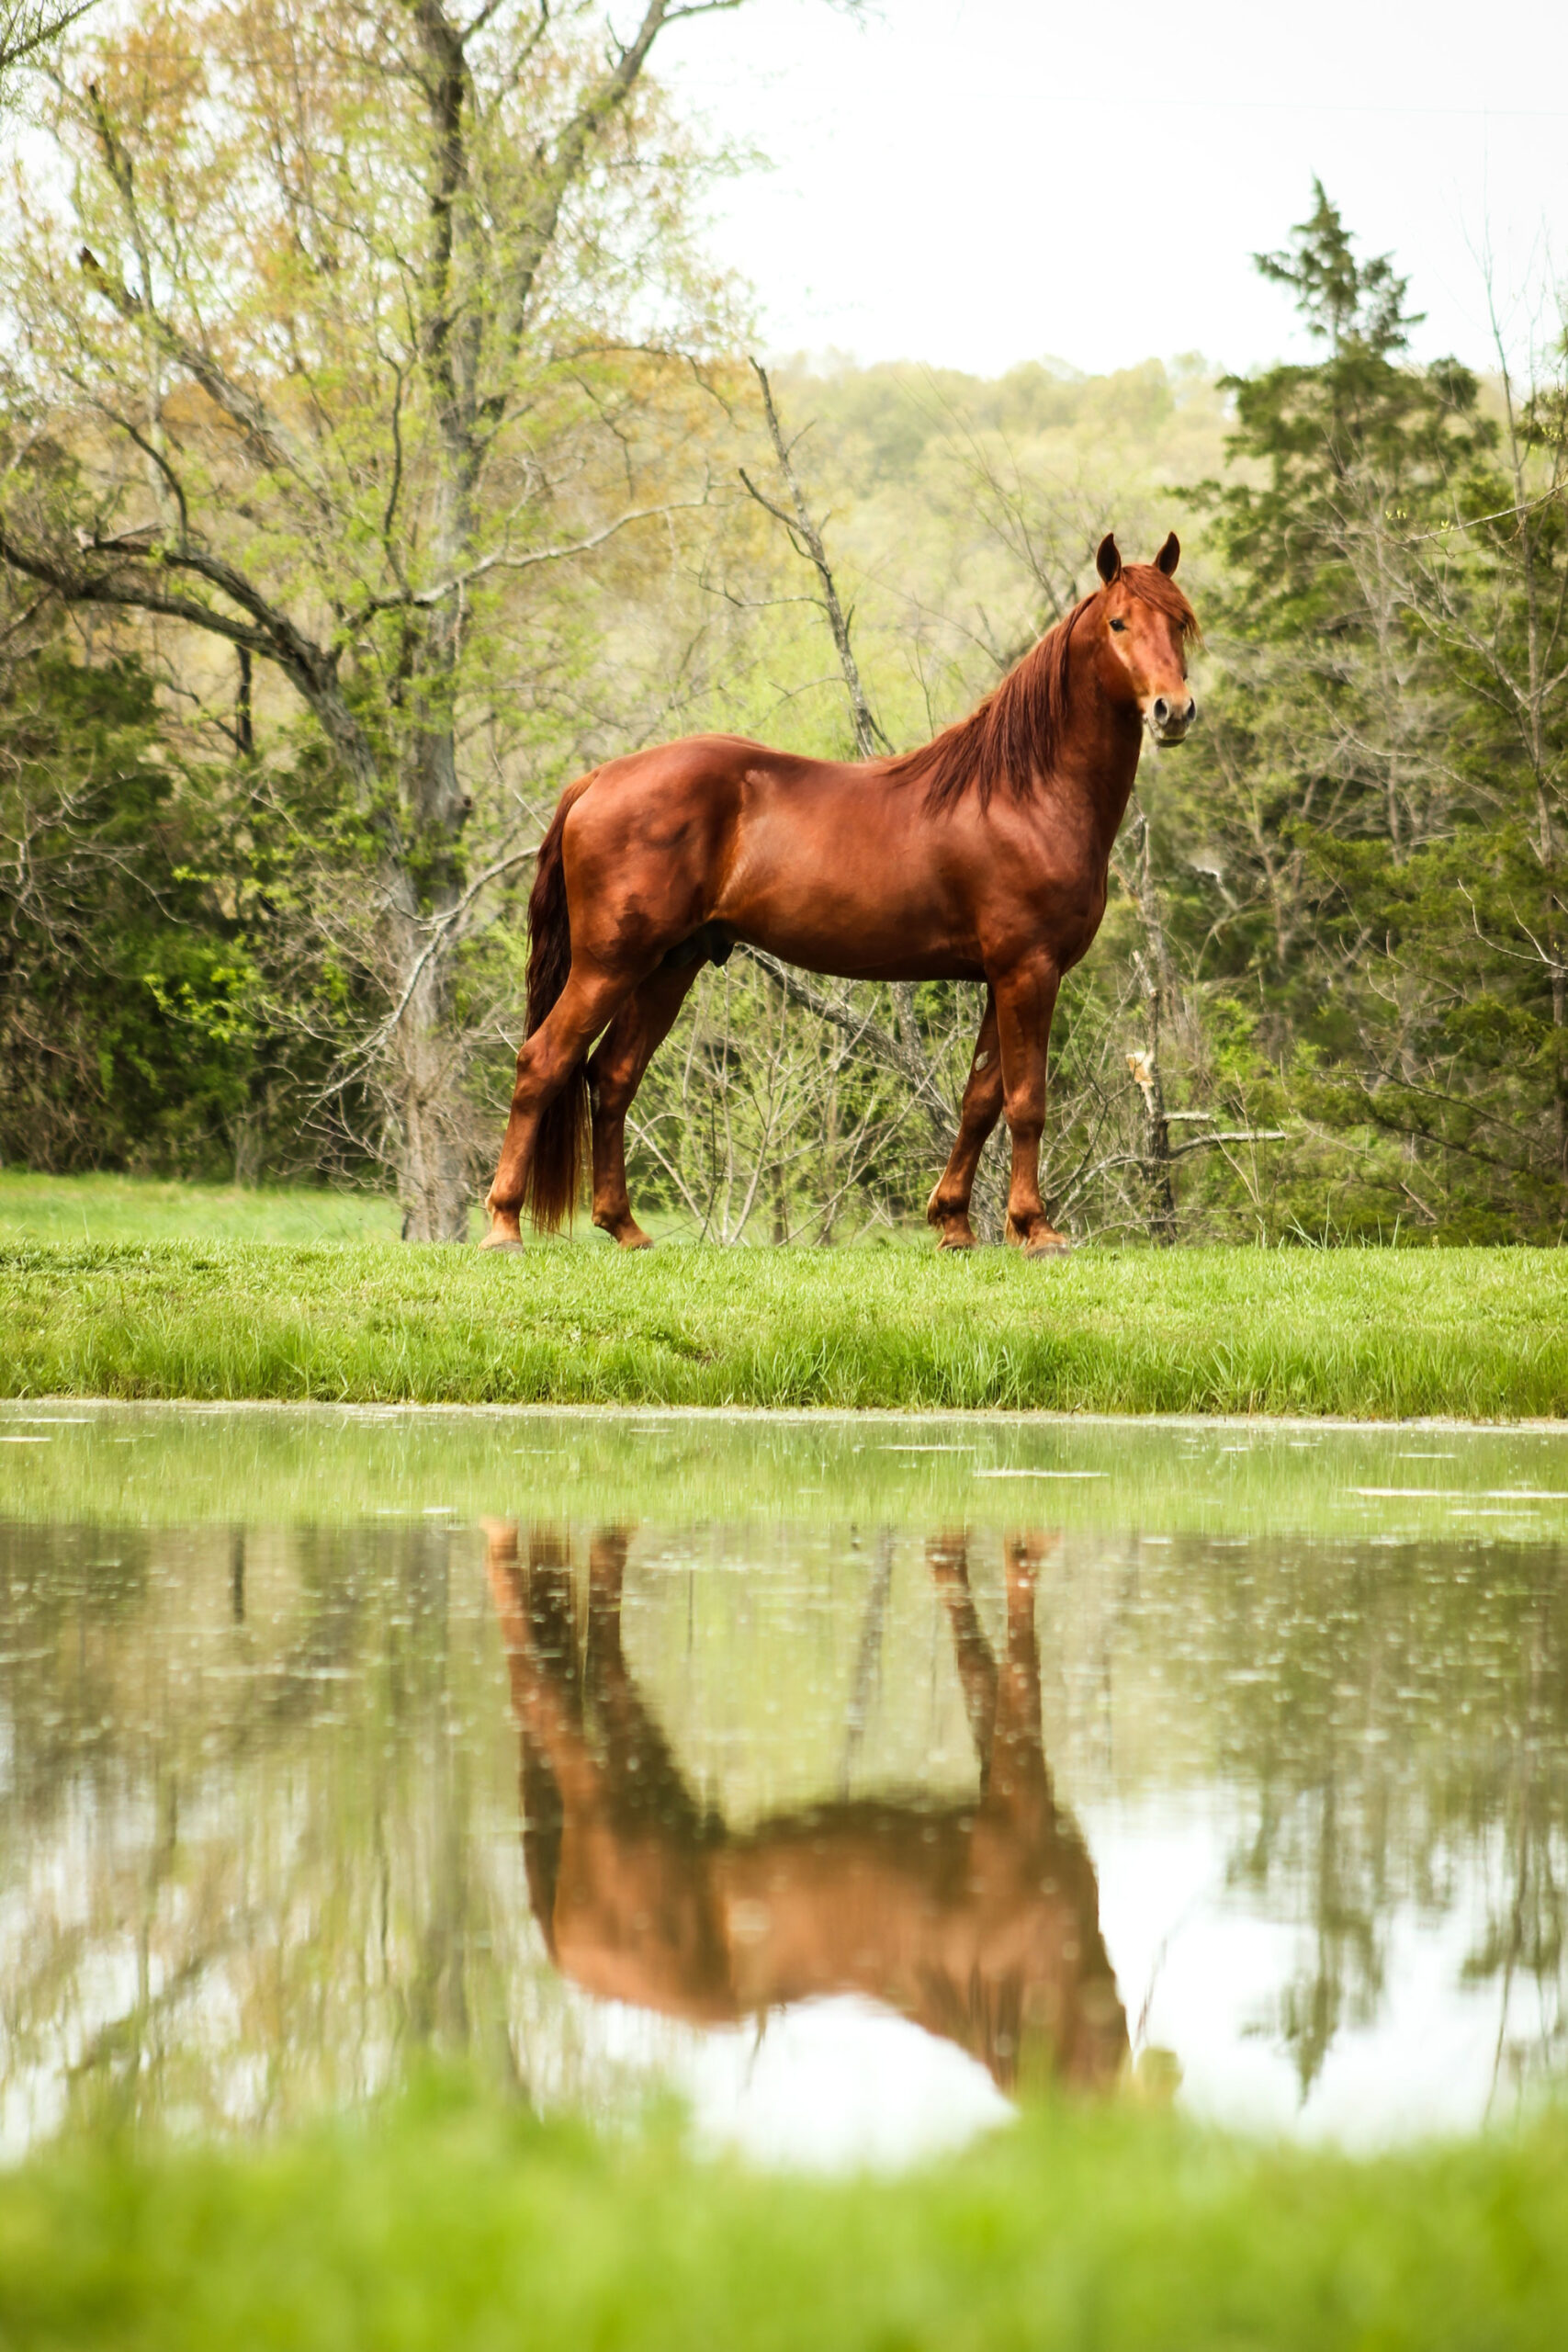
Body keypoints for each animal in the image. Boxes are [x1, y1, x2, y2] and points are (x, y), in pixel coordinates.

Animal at [481, 531, 1198, 1255]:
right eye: (1118, 623)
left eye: (1179, 622)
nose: (1174, 710)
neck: (1025, 794)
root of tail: (599, 778)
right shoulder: (1028, 970)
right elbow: (1026, 1103)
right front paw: (1036, 1229)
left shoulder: (1002, 978)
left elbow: (979, 1100)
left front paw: (954, 1224)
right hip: (609, 964)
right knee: (543, 1061)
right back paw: (503, 1226)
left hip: (670, 965)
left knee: (612, 1077)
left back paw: (625, 1228)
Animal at [481, 1520, 1127, 2095]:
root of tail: (569, 1963)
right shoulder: (1020, 1796)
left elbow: (958, 1599)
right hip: (604, 1806)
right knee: (542, 1695)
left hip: (650, 1785)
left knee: (598, 1633)